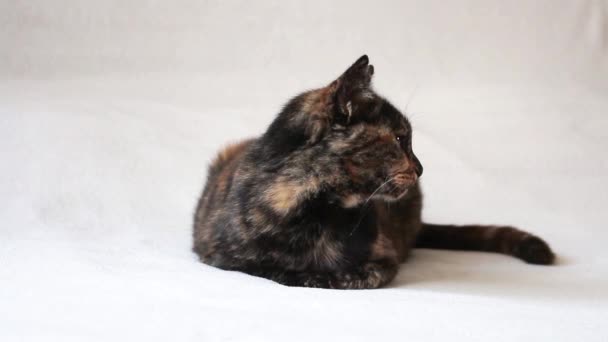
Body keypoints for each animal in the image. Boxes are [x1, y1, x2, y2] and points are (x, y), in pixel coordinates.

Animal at [191, 55, 556, 288]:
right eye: (400, 138)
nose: (421, 168)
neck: (317, 212)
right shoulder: (220, 257)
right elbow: (268, 269)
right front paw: (300, 272)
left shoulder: (384, 261)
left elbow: (352, 276)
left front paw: (319, 274)